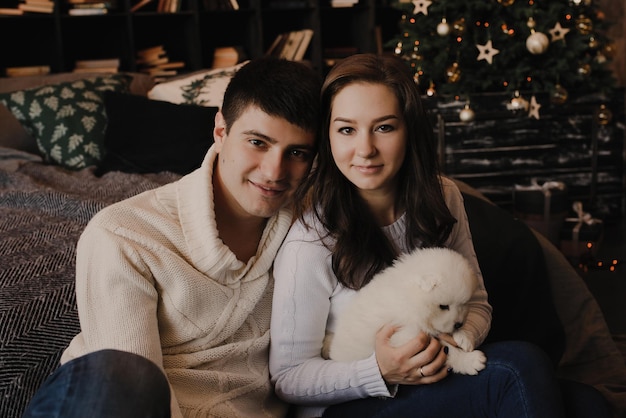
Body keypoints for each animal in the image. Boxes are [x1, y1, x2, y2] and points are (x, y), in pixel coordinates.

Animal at [324, 245, 486, 376]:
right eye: (443, 306)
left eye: (463, 303)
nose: (459, 324)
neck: (411, 299)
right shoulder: (406, 337)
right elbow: (447, 349)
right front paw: (470, 361)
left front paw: (464, 336)